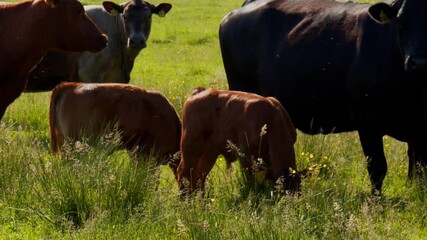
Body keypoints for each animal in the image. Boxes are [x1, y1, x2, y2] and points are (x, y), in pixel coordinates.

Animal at [221, 0, 427, 195]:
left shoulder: (419, 130)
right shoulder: (367, 122)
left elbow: (418, 169)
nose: (419, 62)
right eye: (400, 22)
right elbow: (377, 168)